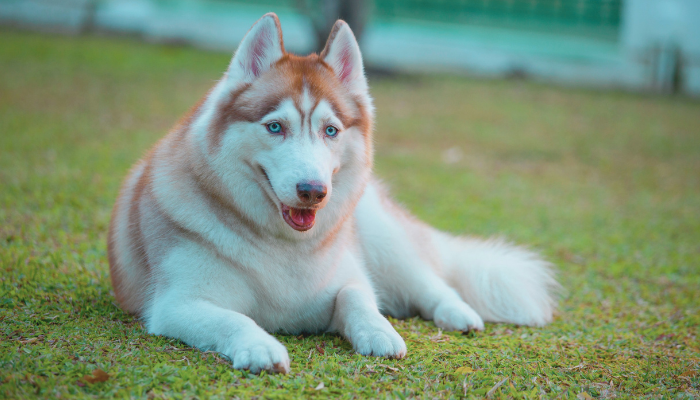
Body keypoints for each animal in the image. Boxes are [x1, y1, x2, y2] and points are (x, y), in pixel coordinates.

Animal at [108, 13, 556, 376]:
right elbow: (233, 319)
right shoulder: (178, 305)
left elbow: (357, 296)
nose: (313, 192)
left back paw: (459, 313)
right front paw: (260, 346)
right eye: (275, 127)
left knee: (430, 282)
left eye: (331, 130)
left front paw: (378, 331)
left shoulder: (348, 276)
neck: (284, 247)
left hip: (384, 240)